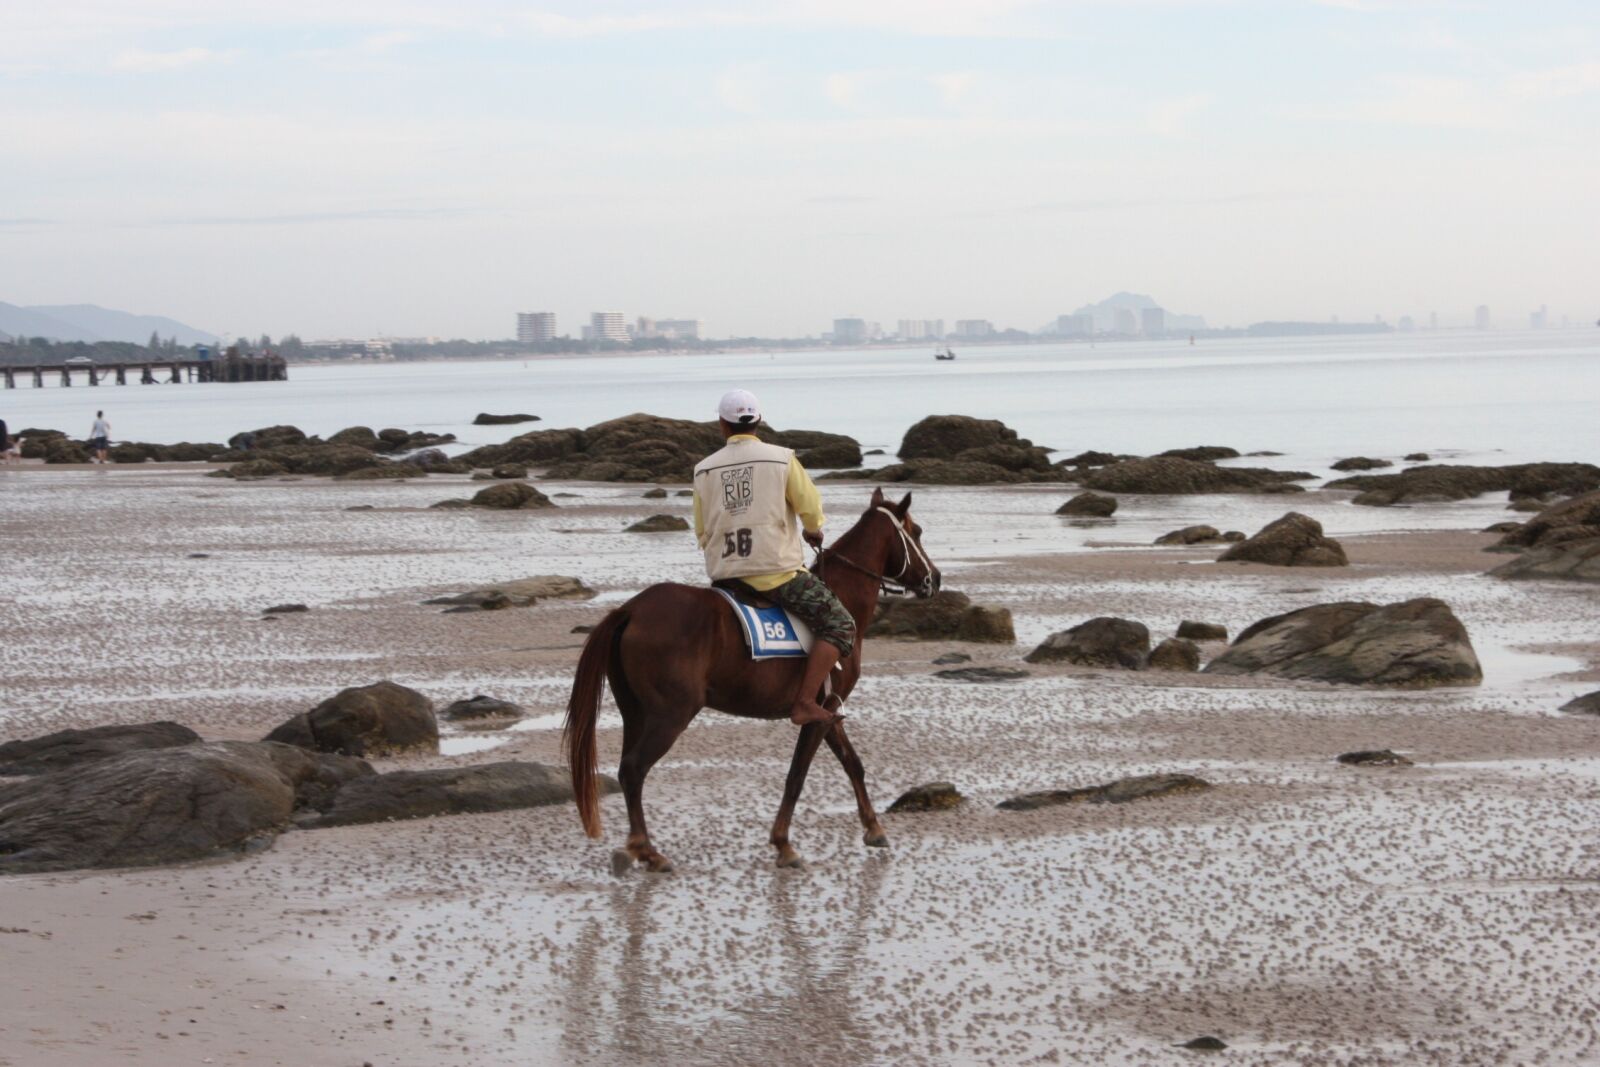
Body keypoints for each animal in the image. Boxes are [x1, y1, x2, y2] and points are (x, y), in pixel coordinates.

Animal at [564, 487, 941, 872]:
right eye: (918, 531)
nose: (935, 578)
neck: (843, 594)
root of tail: (630, 610)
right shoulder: (818, 713)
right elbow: (797, 775)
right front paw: (783, 843)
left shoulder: (830, 710)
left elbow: (853, 764)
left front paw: (873, 827)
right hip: (670, 715)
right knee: (633, 769)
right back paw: (648, 850)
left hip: (636, 713)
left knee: (629, 772)